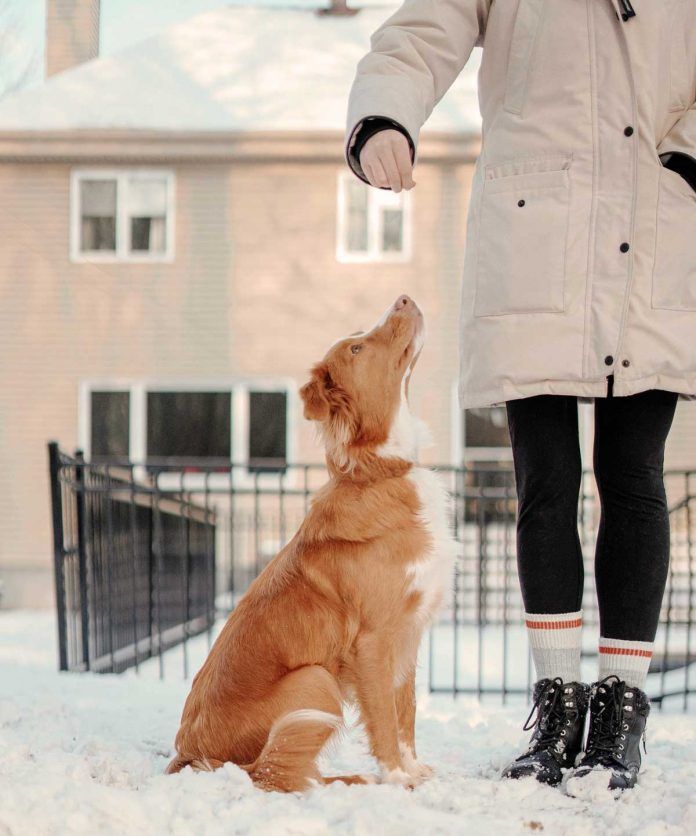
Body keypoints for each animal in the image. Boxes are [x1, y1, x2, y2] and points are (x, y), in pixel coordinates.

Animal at [166, 295, 456, 791]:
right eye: (357, 349)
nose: (403, 298)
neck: (380, 470)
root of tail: (189, 756)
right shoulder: (373, 641)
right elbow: (384, 715)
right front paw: (396, 777)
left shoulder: (408, 634)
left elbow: (406, 711)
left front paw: (413, 767)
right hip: (315, 681)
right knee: (277, 774)